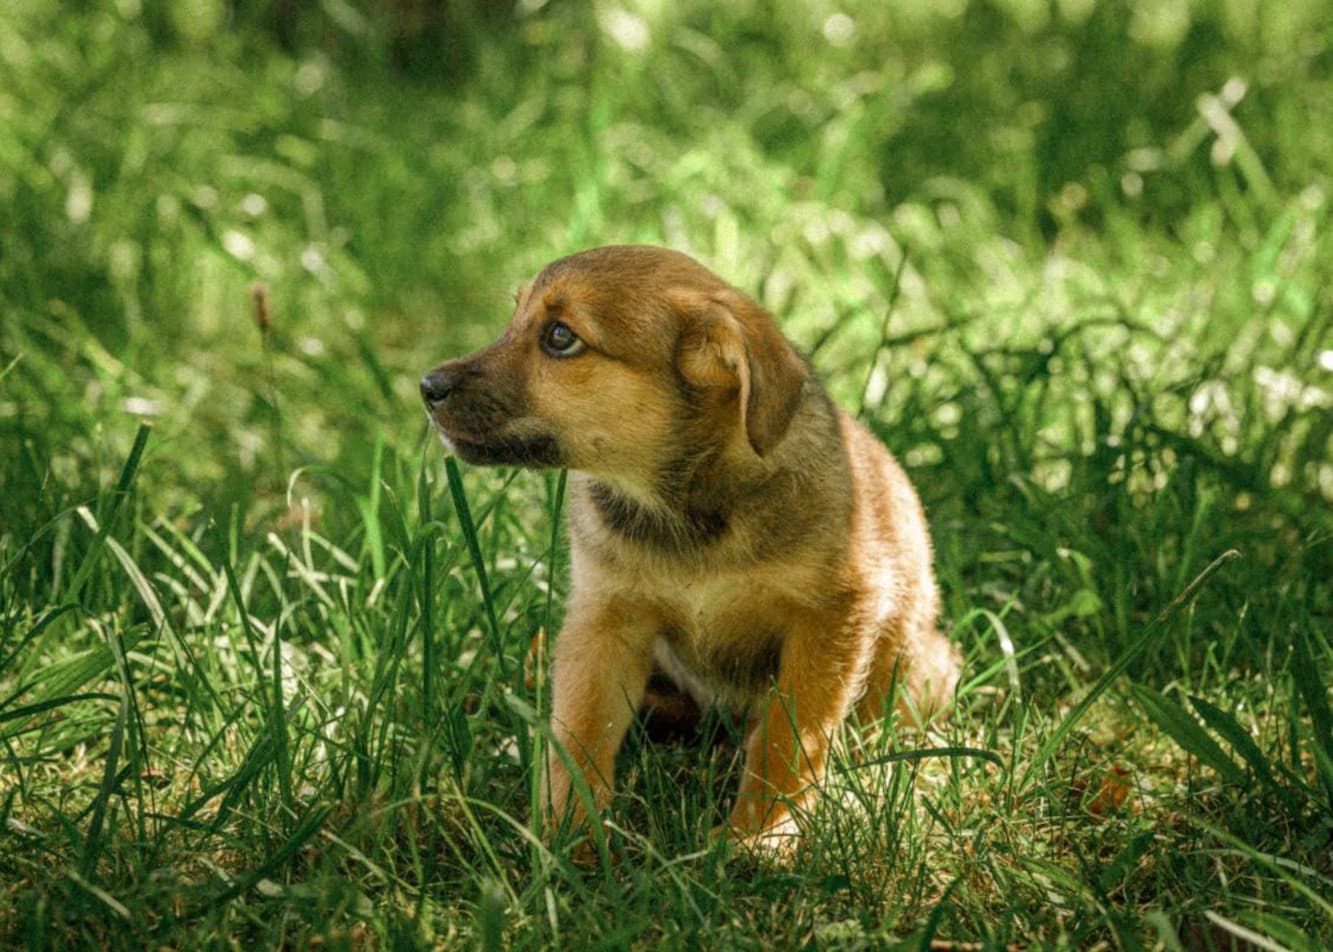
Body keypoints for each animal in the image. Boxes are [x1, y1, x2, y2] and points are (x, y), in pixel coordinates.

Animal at [423, 242, 959, 848]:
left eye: (560, 337)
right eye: (513, 317)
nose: (427, 387)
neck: (683, 512)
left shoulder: (832, 616)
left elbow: (790, 736)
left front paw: (759, 836)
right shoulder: (603, 619)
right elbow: (578, 734)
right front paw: (567, 840)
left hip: (920, 674)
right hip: (552, 650)